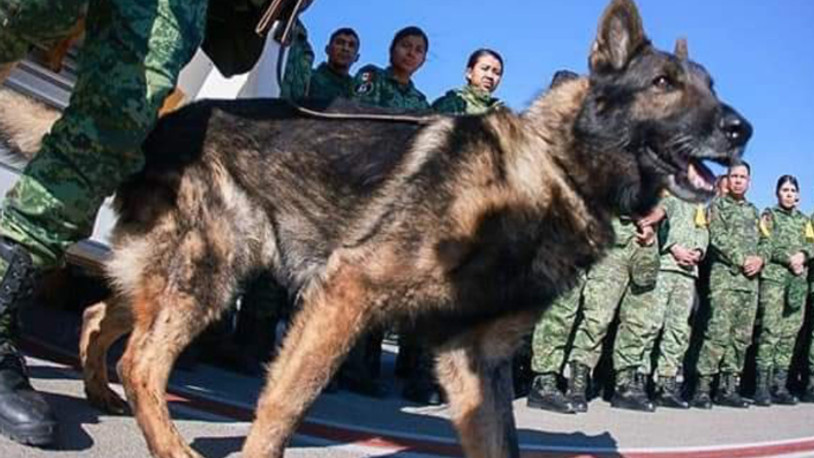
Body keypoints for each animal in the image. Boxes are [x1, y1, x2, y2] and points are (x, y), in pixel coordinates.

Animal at [0, 0, 752, 456]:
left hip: (186, 274)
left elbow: (499, 444)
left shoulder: (473, 362)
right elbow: (285, 403)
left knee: (102, 313)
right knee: (143, 360)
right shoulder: (346, 295)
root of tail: (157, 128)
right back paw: (164, 436)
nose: (742, 128)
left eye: (713, 88)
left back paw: (100, 390)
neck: (553, 169)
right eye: (663, 84)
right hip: (210, 273)